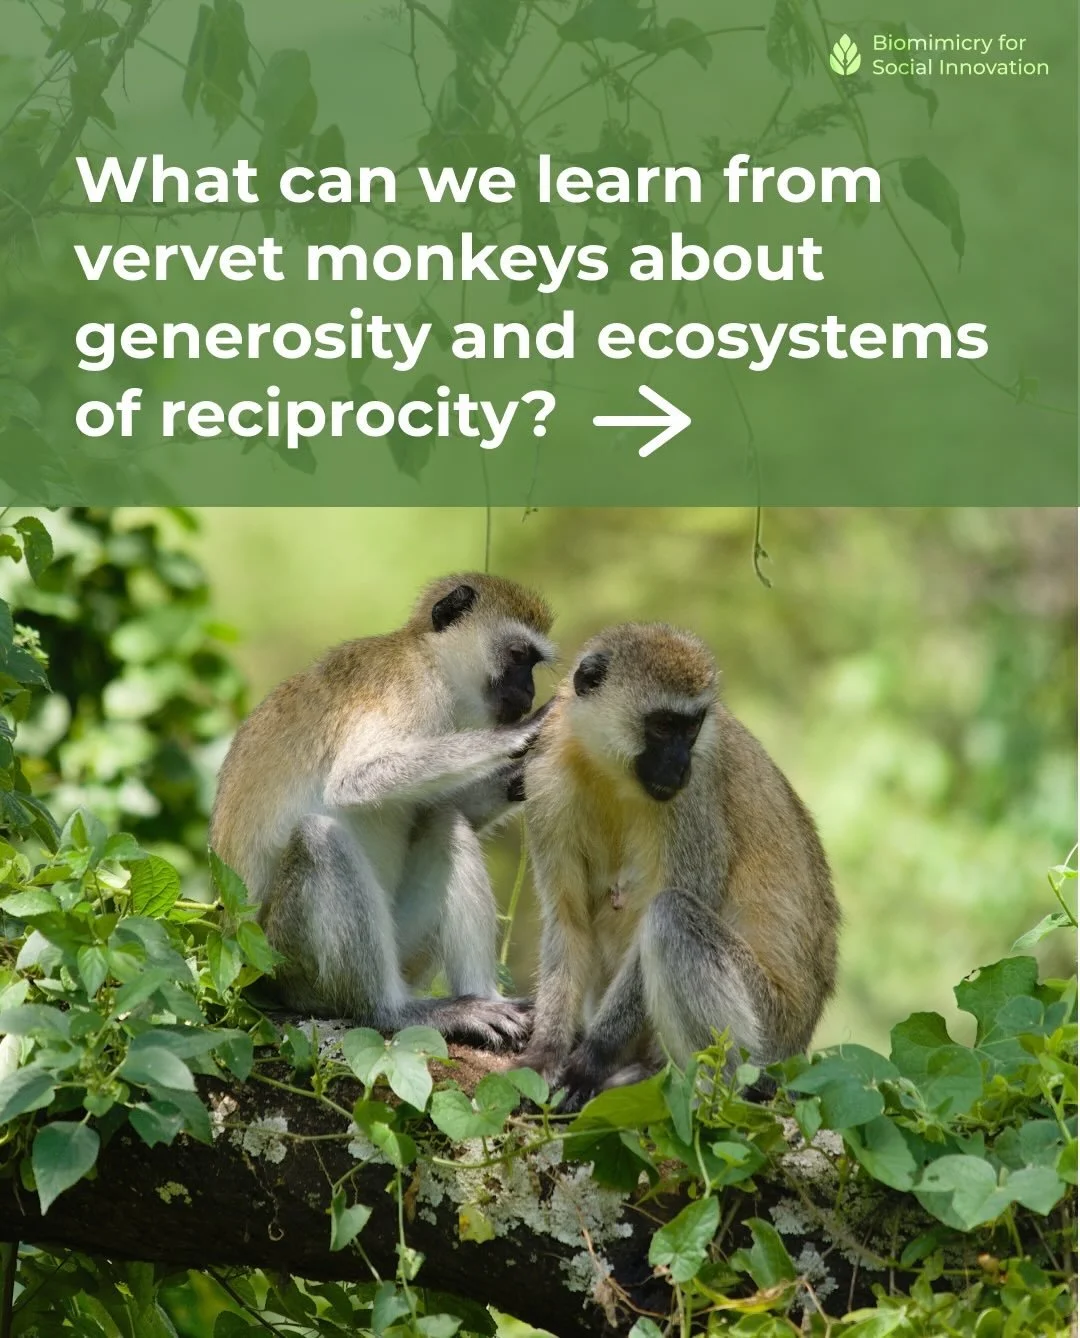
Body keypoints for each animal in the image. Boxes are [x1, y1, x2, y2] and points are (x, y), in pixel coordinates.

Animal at [209, 573, 556, 1050]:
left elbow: (443, 805)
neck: (429, 660)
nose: (529, 691)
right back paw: (396, 1010)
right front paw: (525, 733)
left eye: (533, 663)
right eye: (519, 655)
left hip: (407, 949)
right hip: (287, 963)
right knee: (319, 839)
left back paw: (483, 998)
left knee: (444, 821)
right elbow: (355, 780)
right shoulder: (407, 691)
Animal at [519, 622, 838, 1108]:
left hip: (770, 1031)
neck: (609, 771)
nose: (679, 766)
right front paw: (545, 1052)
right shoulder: (543, 779)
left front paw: (592, 1057)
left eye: (692, 727)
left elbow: (684, 897)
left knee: (671, 914)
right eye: (663, 726)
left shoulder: (696, 793)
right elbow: (568, 919)